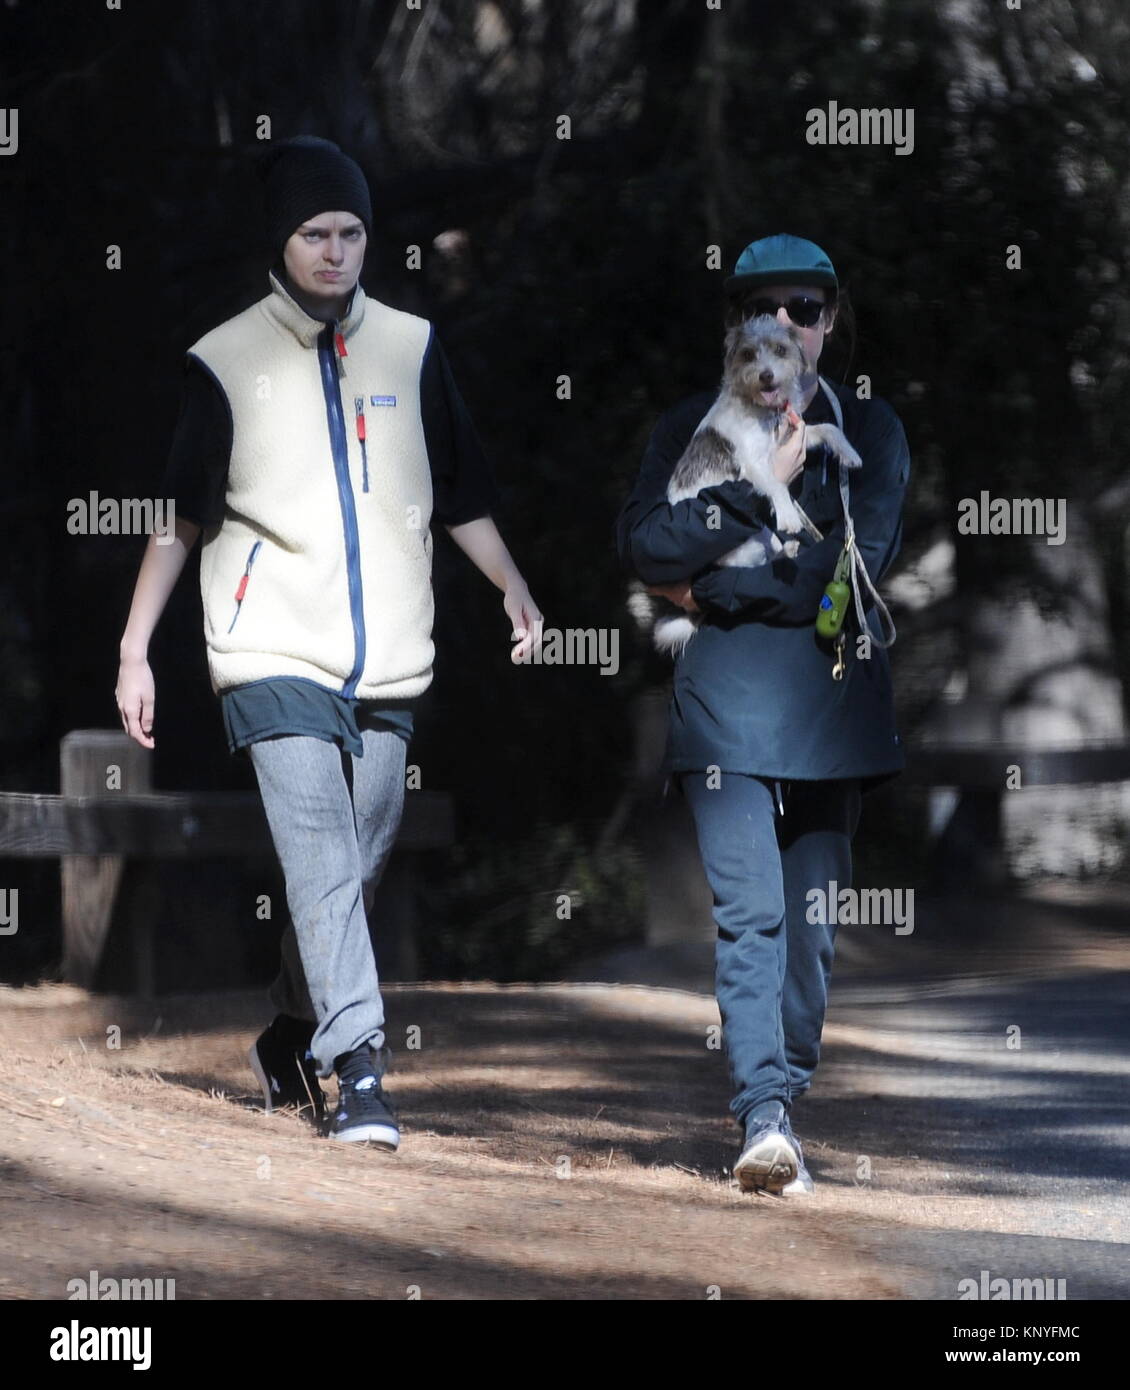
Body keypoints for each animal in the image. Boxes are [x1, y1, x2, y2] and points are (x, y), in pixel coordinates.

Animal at [647, 318, 861, 653]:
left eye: (780, 350)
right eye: (747, 355)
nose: (766, 375)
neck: (764, 412)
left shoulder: (794, 437)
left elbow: (828, 428)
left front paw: (850, 454)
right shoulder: (755, 464)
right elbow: (777, 486)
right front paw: (788, 515)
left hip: (763, 536)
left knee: (773, 552)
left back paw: (789, 548)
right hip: (746, 548)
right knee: (752, 567)